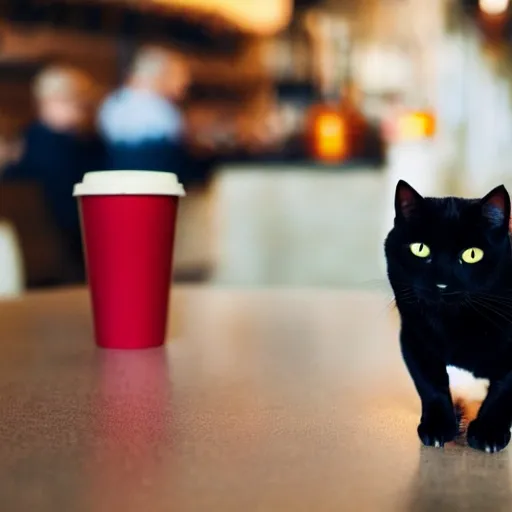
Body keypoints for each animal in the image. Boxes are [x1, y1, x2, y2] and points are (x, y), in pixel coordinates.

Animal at [386, 180, 512, 452]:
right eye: (420, 249)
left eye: (472, 254)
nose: (441, 284)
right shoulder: (414, 339)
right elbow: (431, 385)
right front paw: (438, 427)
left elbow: (503, 389)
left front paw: (488, 433)